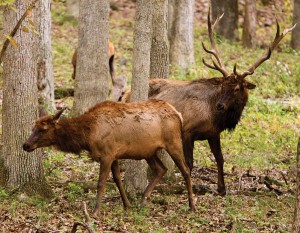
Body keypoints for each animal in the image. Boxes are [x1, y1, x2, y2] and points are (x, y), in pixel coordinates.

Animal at [24, 100, 197, 215]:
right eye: (32, 127)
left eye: (43, 129)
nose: (25, 145)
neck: (87, 136)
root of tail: (178, 114)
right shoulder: (114, 155)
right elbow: (118, 180)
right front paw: (127, 205)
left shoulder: (107, 154)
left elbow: (101, 183)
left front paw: (95, 211)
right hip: (149, 151)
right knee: (161, 169)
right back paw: (142, 200)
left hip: (173, 143)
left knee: (186, 170)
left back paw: (191, 206)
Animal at [122, 11, 296, 197]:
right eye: (222, 85)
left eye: (237, 88)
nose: (220, 105)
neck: (215, 117)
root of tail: (125, 94)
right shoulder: (188, 131)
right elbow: (189, 163)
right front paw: (187, 189)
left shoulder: (213, 134)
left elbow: (220, 159)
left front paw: (222, 189)